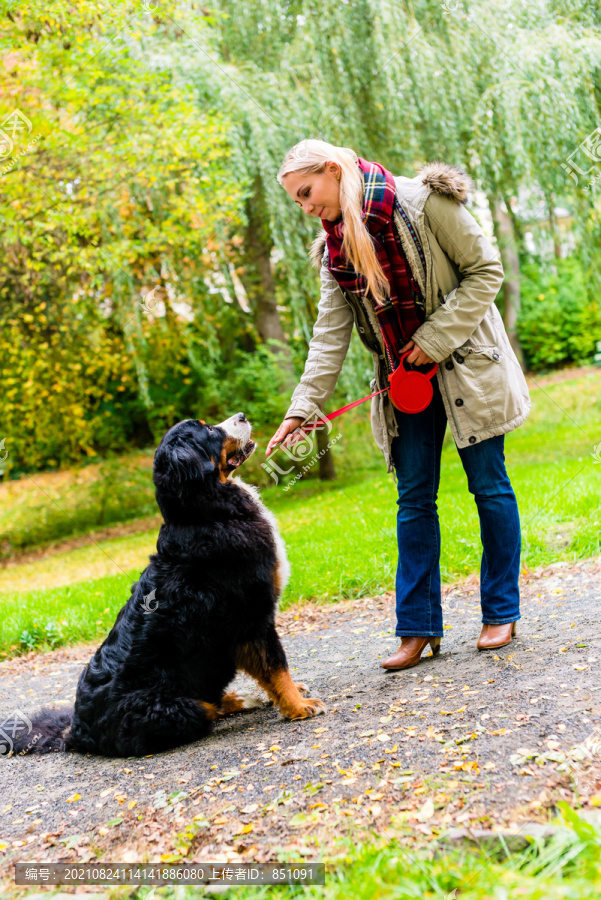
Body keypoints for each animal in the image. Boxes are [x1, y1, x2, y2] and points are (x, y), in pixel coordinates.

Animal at [5, 412, 324, 756]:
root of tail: (75, 732)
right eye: (208, 430)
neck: (206, 514)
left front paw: (291, 698)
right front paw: (298, 706)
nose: (241, 416)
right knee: (208, 707)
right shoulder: (253, 618)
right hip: (182, 708)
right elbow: (276, 667)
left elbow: (273, 668)